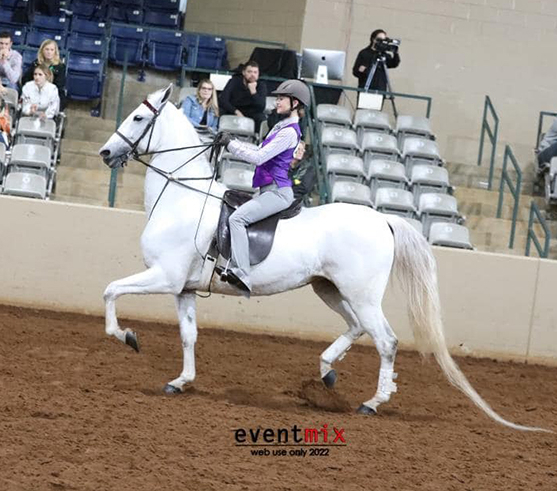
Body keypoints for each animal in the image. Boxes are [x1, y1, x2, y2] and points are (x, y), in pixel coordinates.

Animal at [98, 85, 547, 432]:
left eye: (139, 117)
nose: (104, 153)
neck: (181, 197)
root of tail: (382, 219)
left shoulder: (164, 277)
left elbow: (111, 292)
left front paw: (128, 337)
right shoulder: (185, 289)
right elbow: (188, 336)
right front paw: (181, 381)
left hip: (362, 295)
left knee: (385, 340)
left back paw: (372, 402)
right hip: (328, 289)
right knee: (356, 329)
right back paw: (328, 371)